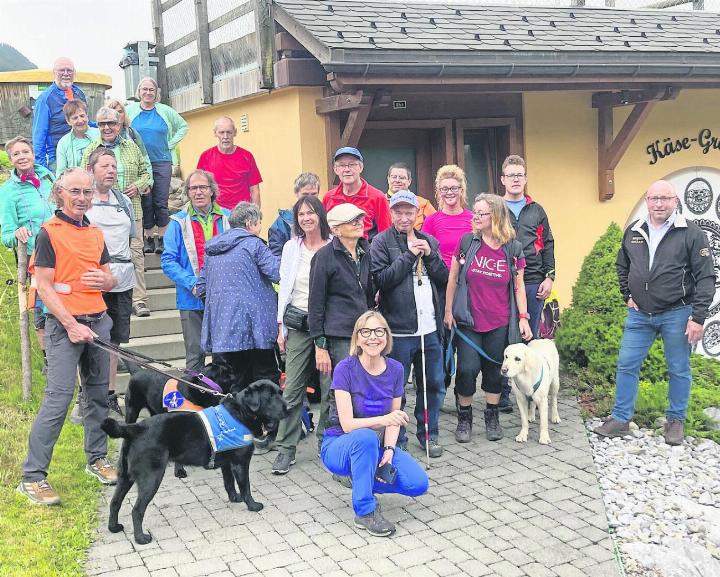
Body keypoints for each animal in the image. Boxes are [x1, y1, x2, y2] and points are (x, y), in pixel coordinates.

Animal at [102, 380, 288, 544]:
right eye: (270, 397)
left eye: (280, 393)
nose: (288, 408)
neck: (241, 412)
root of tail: (136, 428)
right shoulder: (240, 463)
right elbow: (246, 487)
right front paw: (252, 505)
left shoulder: (227, 463)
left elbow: (229, 484)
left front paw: (234, 498)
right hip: (151, 478)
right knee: (137, 510)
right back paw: (141, 538)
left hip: (125, 476)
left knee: (115, 502)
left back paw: (114, 527)